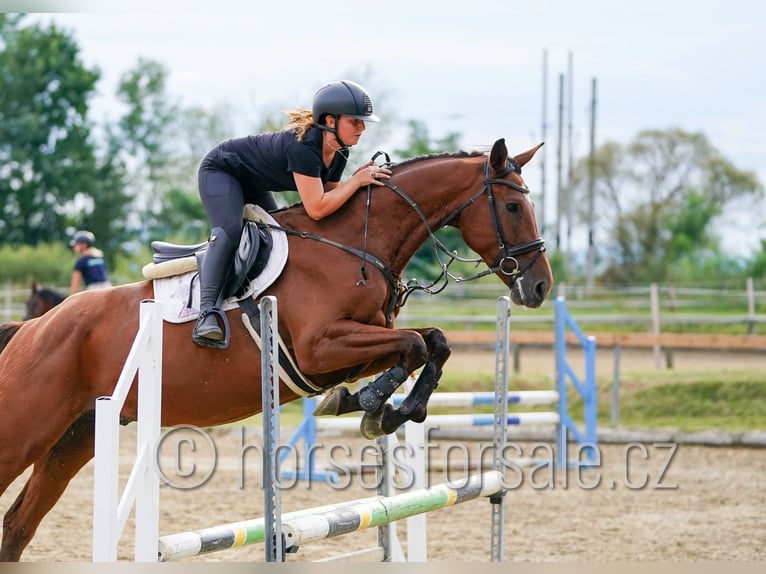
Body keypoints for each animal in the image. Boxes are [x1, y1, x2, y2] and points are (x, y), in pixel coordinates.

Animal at [0, 138, 552, 561]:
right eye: (512, 207)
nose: (541, 286)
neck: (354, 246)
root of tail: (33, 327)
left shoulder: (355, 345)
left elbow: (430, 343)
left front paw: (376, 408)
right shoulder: (320, 348)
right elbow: (415, 344)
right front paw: (375, 406)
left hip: (77, 435)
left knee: (18, 525)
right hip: (26, 430)